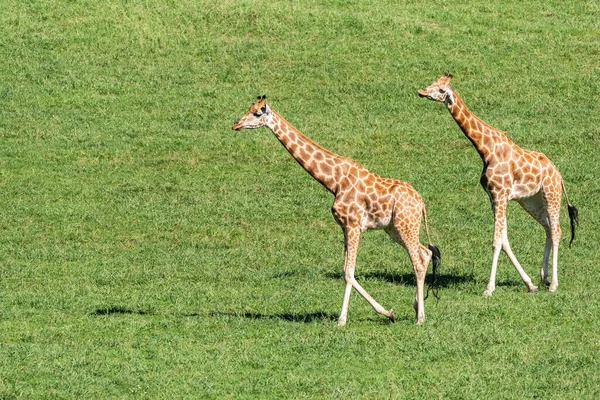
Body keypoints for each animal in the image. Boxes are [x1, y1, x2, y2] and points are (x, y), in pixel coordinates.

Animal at [234, 95, 440, 324]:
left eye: (257, 113)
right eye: (248, 109)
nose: (236, 124)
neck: (334, 181)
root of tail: (421, 203)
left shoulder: (353, 225)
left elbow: (349, 272)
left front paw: (342, 320)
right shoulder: (344, 227)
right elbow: (344, 271)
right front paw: (388, 312)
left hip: (405, 225)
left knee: (418, 261)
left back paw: (420, 318)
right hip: (395, 228)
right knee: (424, 253)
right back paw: (416, 307)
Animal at [418, 72, 576, 296]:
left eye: (441, 89)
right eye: (431, 82)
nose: (421, 92)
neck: (486, 149)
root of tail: (559, 175)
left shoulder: (500, 194)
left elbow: (496, 241)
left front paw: (489, 288)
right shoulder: (494, 197)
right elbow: (504, 239)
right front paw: (530, 284)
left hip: (551, 194)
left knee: (556, 230)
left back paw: (553, 284)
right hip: (531, 201)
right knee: (547, 227)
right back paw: (543, 277)